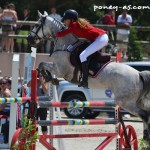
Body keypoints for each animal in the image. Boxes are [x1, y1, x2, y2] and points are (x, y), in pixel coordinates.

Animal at [27, 11, 150, 142]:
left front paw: (49, 77)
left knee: (144, 114)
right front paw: (50, 78)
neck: (65, 45)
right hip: (137, 100)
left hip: (125, 101)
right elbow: (42, 65)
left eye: (36, 24)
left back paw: (146, 136)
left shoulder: (60, 70)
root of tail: (138, 74)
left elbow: (41, 64)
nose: (29, 39)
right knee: (146, 113)